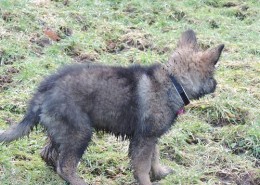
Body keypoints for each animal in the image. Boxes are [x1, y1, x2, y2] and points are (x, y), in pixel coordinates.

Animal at [0, 29, 223, 184]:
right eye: (212, 73)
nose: (216, 84)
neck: (173, 81)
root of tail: (43, 91)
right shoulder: (145, 138)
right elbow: (143, 165)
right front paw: (148, 180)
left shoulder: (150, 137)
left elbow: (155, 156)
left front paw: (160, 173)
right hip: (79, 131)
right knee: (65, 166)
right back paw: (79, 181)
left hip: (61, 130)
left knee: (48, 154)